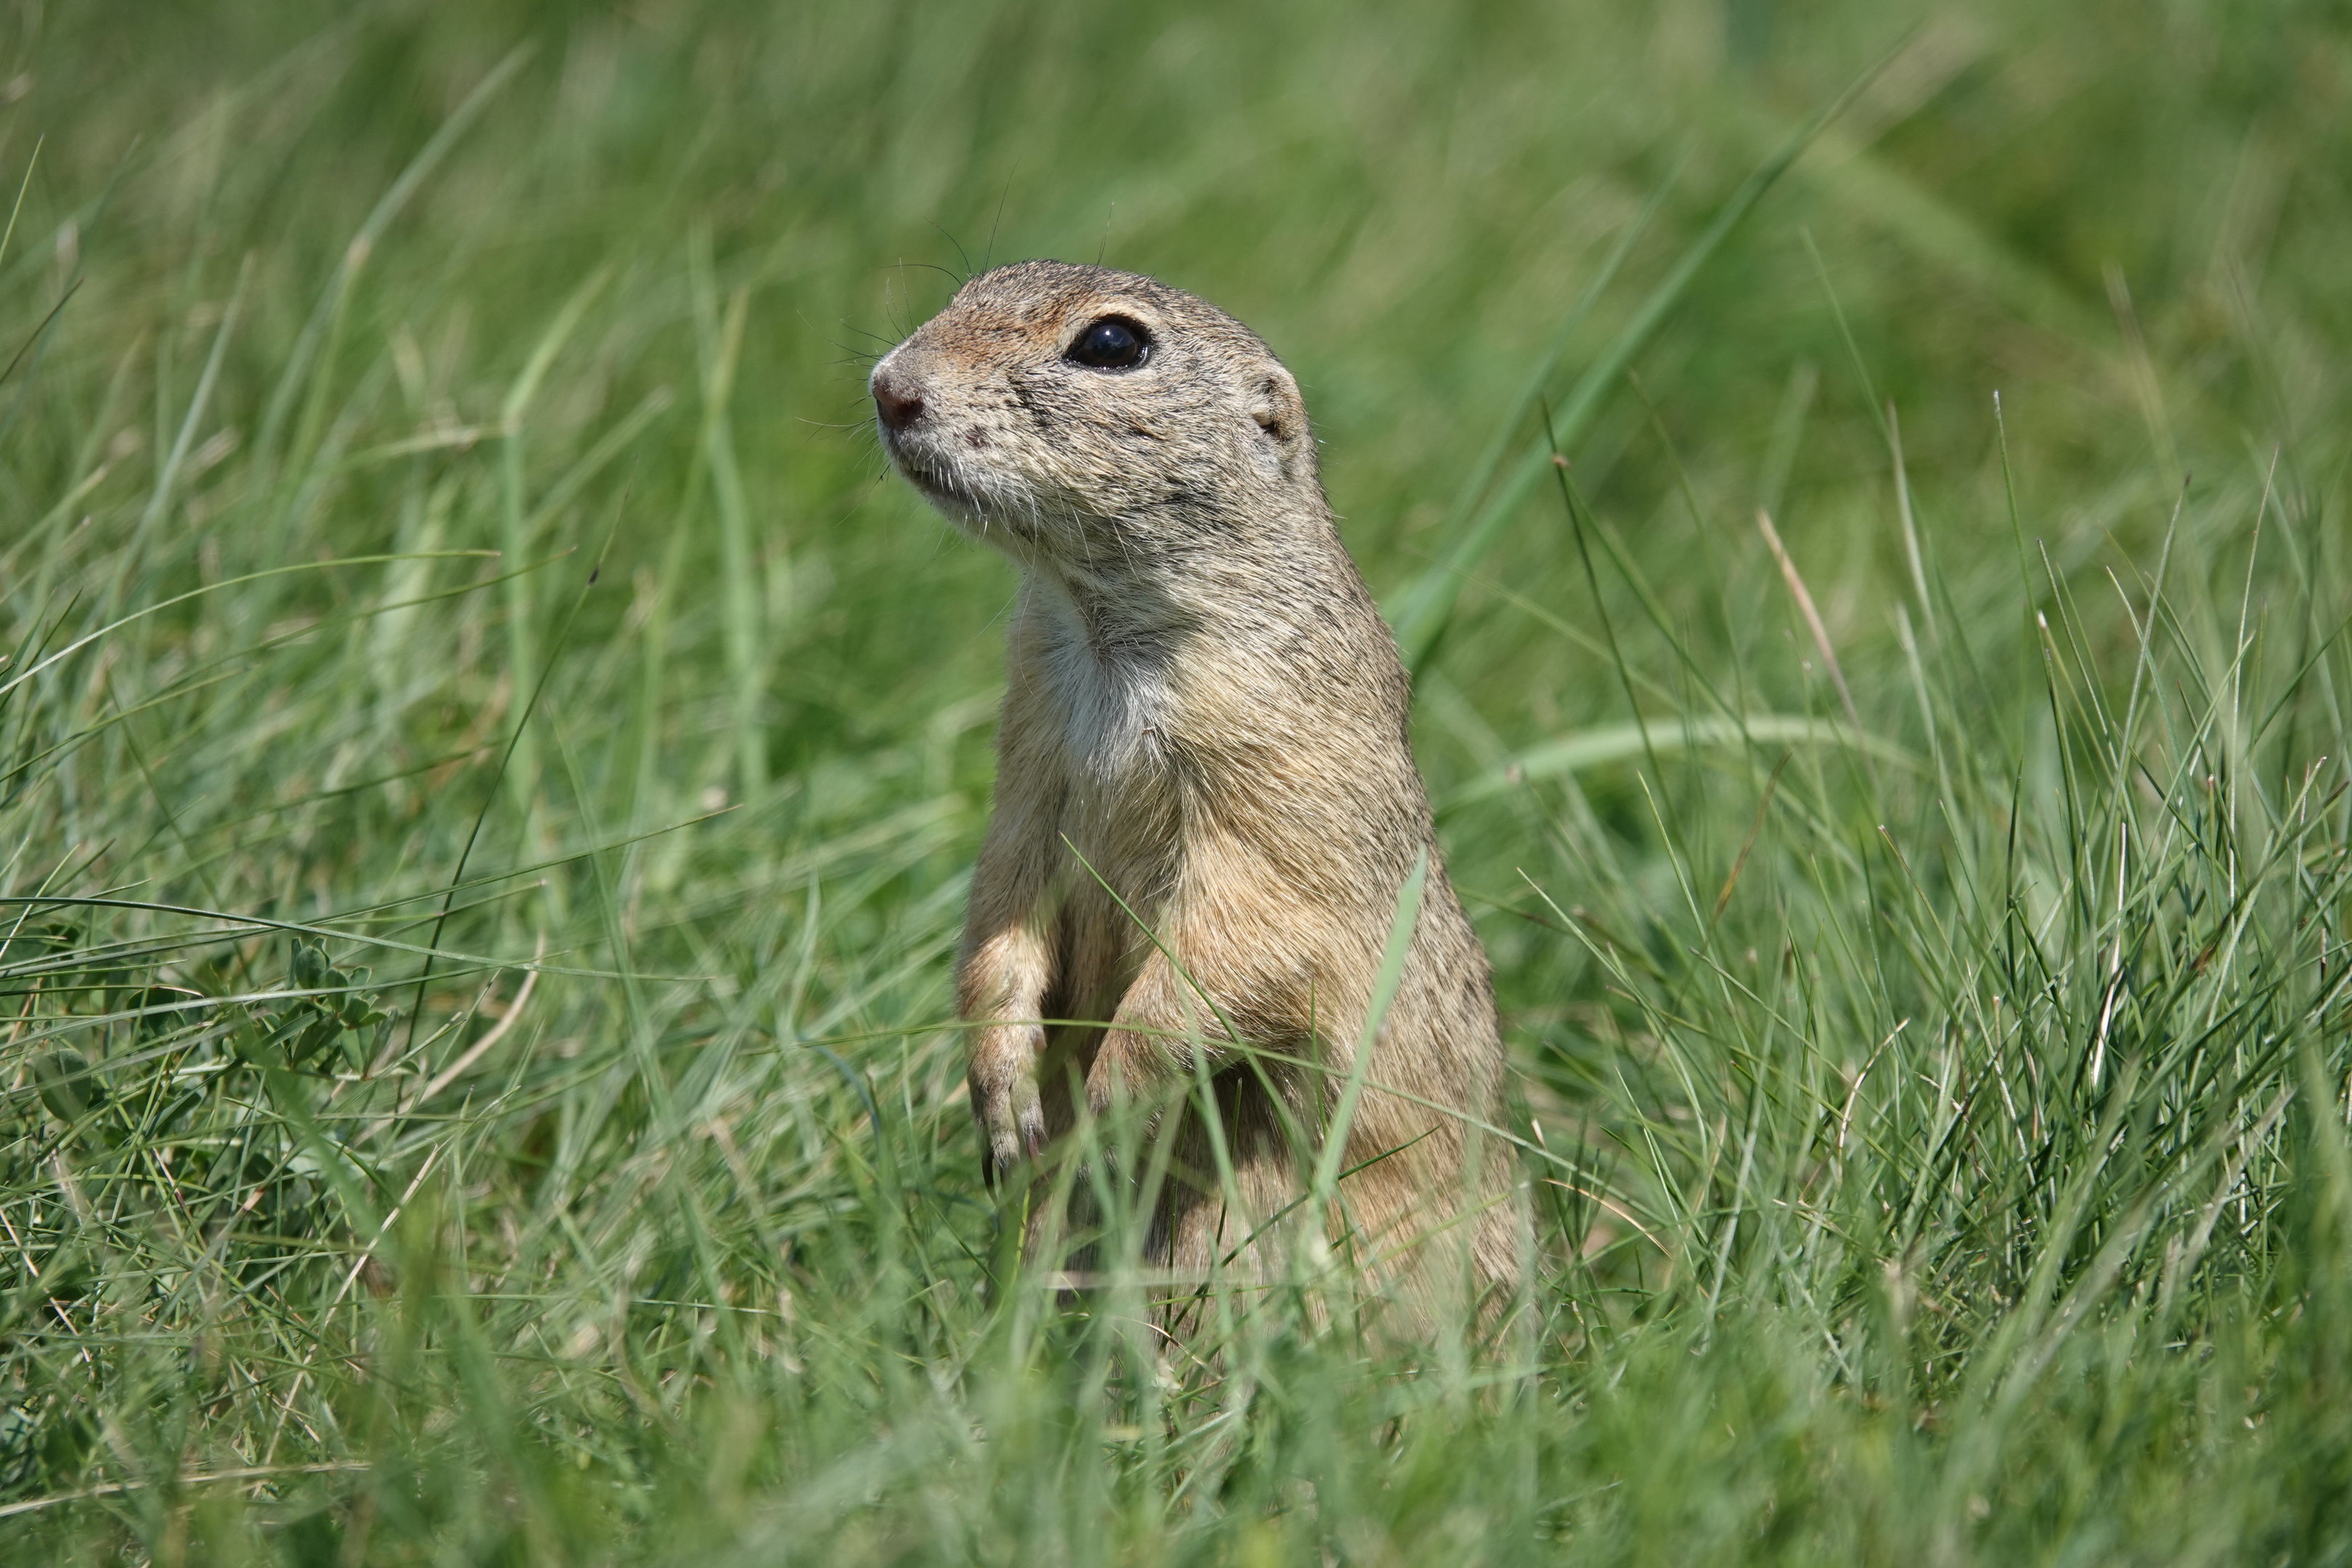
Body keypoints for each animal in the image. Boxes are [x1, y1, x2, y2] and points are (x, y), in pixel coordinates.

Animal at [872, 260, 1520, 1327]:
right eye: (971, 286)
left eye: (1112, 344)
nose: (890, 387)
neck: (1097, 624)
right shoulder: (1030, 780)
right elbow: (999, 918)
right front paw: (1005, 1103)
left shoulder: (1276, 794)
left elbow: (1240, 945)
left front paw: (1104, 1104)